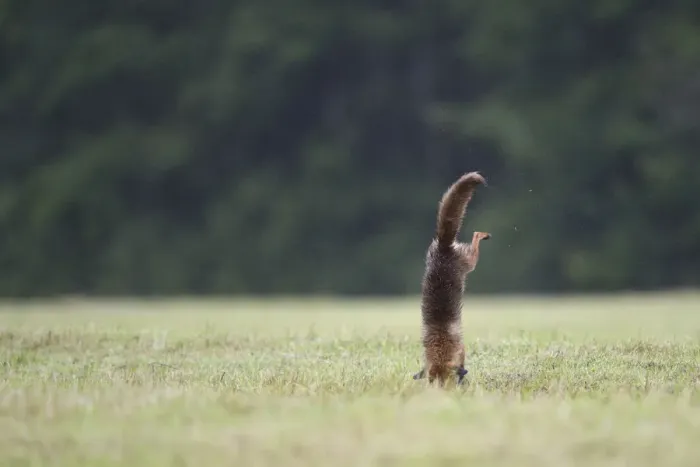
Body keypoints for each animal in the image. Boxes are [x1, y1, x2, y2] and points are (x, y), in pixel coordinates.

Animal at [412, 172, 490, 387]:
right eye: (434, 383)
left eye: (445, 382)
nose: (442, 392)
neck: (441, 340)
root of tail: (443, 244)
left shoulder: (461, 348)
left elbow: (462, 360)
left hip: (470, 262)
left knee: (475, 236)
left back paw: (483, 234)